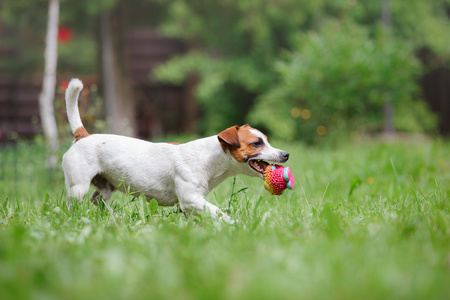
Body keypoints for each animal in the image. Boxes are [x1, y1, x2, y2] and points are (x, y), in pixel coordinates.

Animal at [61, 78, 290, 221]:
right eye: (257, 143)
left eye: (267, 140)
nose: (286, 154)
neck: (209, 159)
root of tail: (83, 135)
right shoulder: (191, 199)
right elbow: (217, 212)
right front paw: (233, 224)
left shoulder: (189, 204)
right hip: (78, 187)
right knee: (75, 204)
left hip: (106, 186)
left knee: (97, 200)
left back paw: (114, 217)